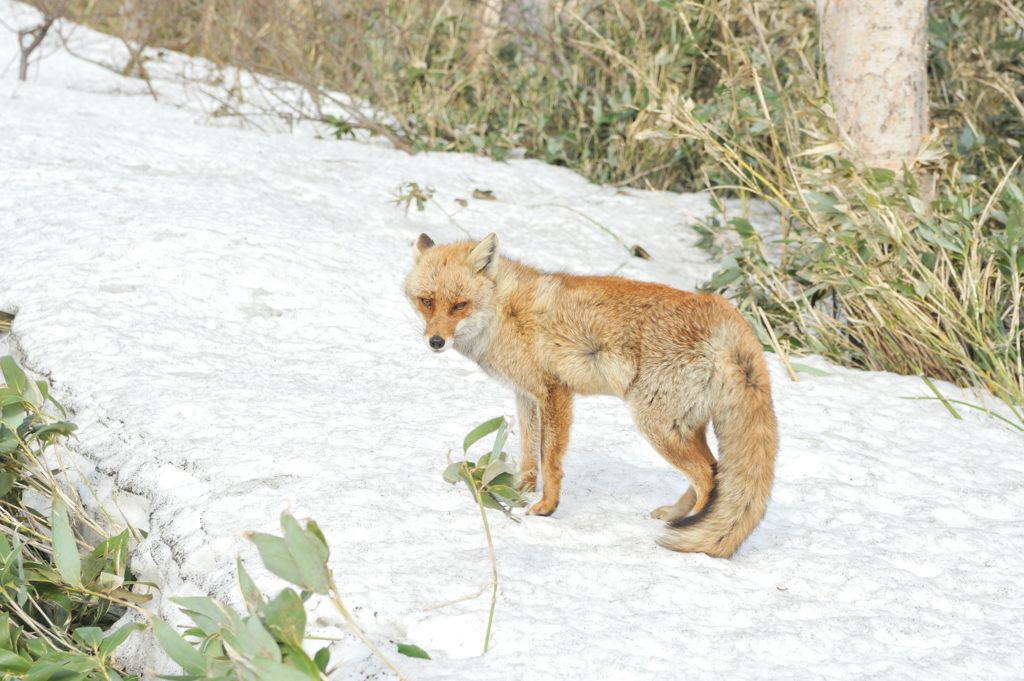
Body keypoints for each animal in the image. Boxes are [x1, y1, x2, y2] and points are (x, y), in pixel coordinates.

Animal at [405, 231, 774, 557]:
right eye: (427, 301)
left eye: (460, 305)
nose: (435, 342)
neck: (503, 312)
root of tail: (726, 314)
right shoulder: (526, 395)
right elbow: (528, 455)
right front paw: (516, 489)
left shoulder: (554, 391)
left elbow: (549, 459)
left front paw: (546, 507)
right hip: (684, 427)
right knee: (714, 472)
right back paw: (677, 516)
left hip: (657, 426)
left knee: (708, 478)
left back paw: (692, 530)